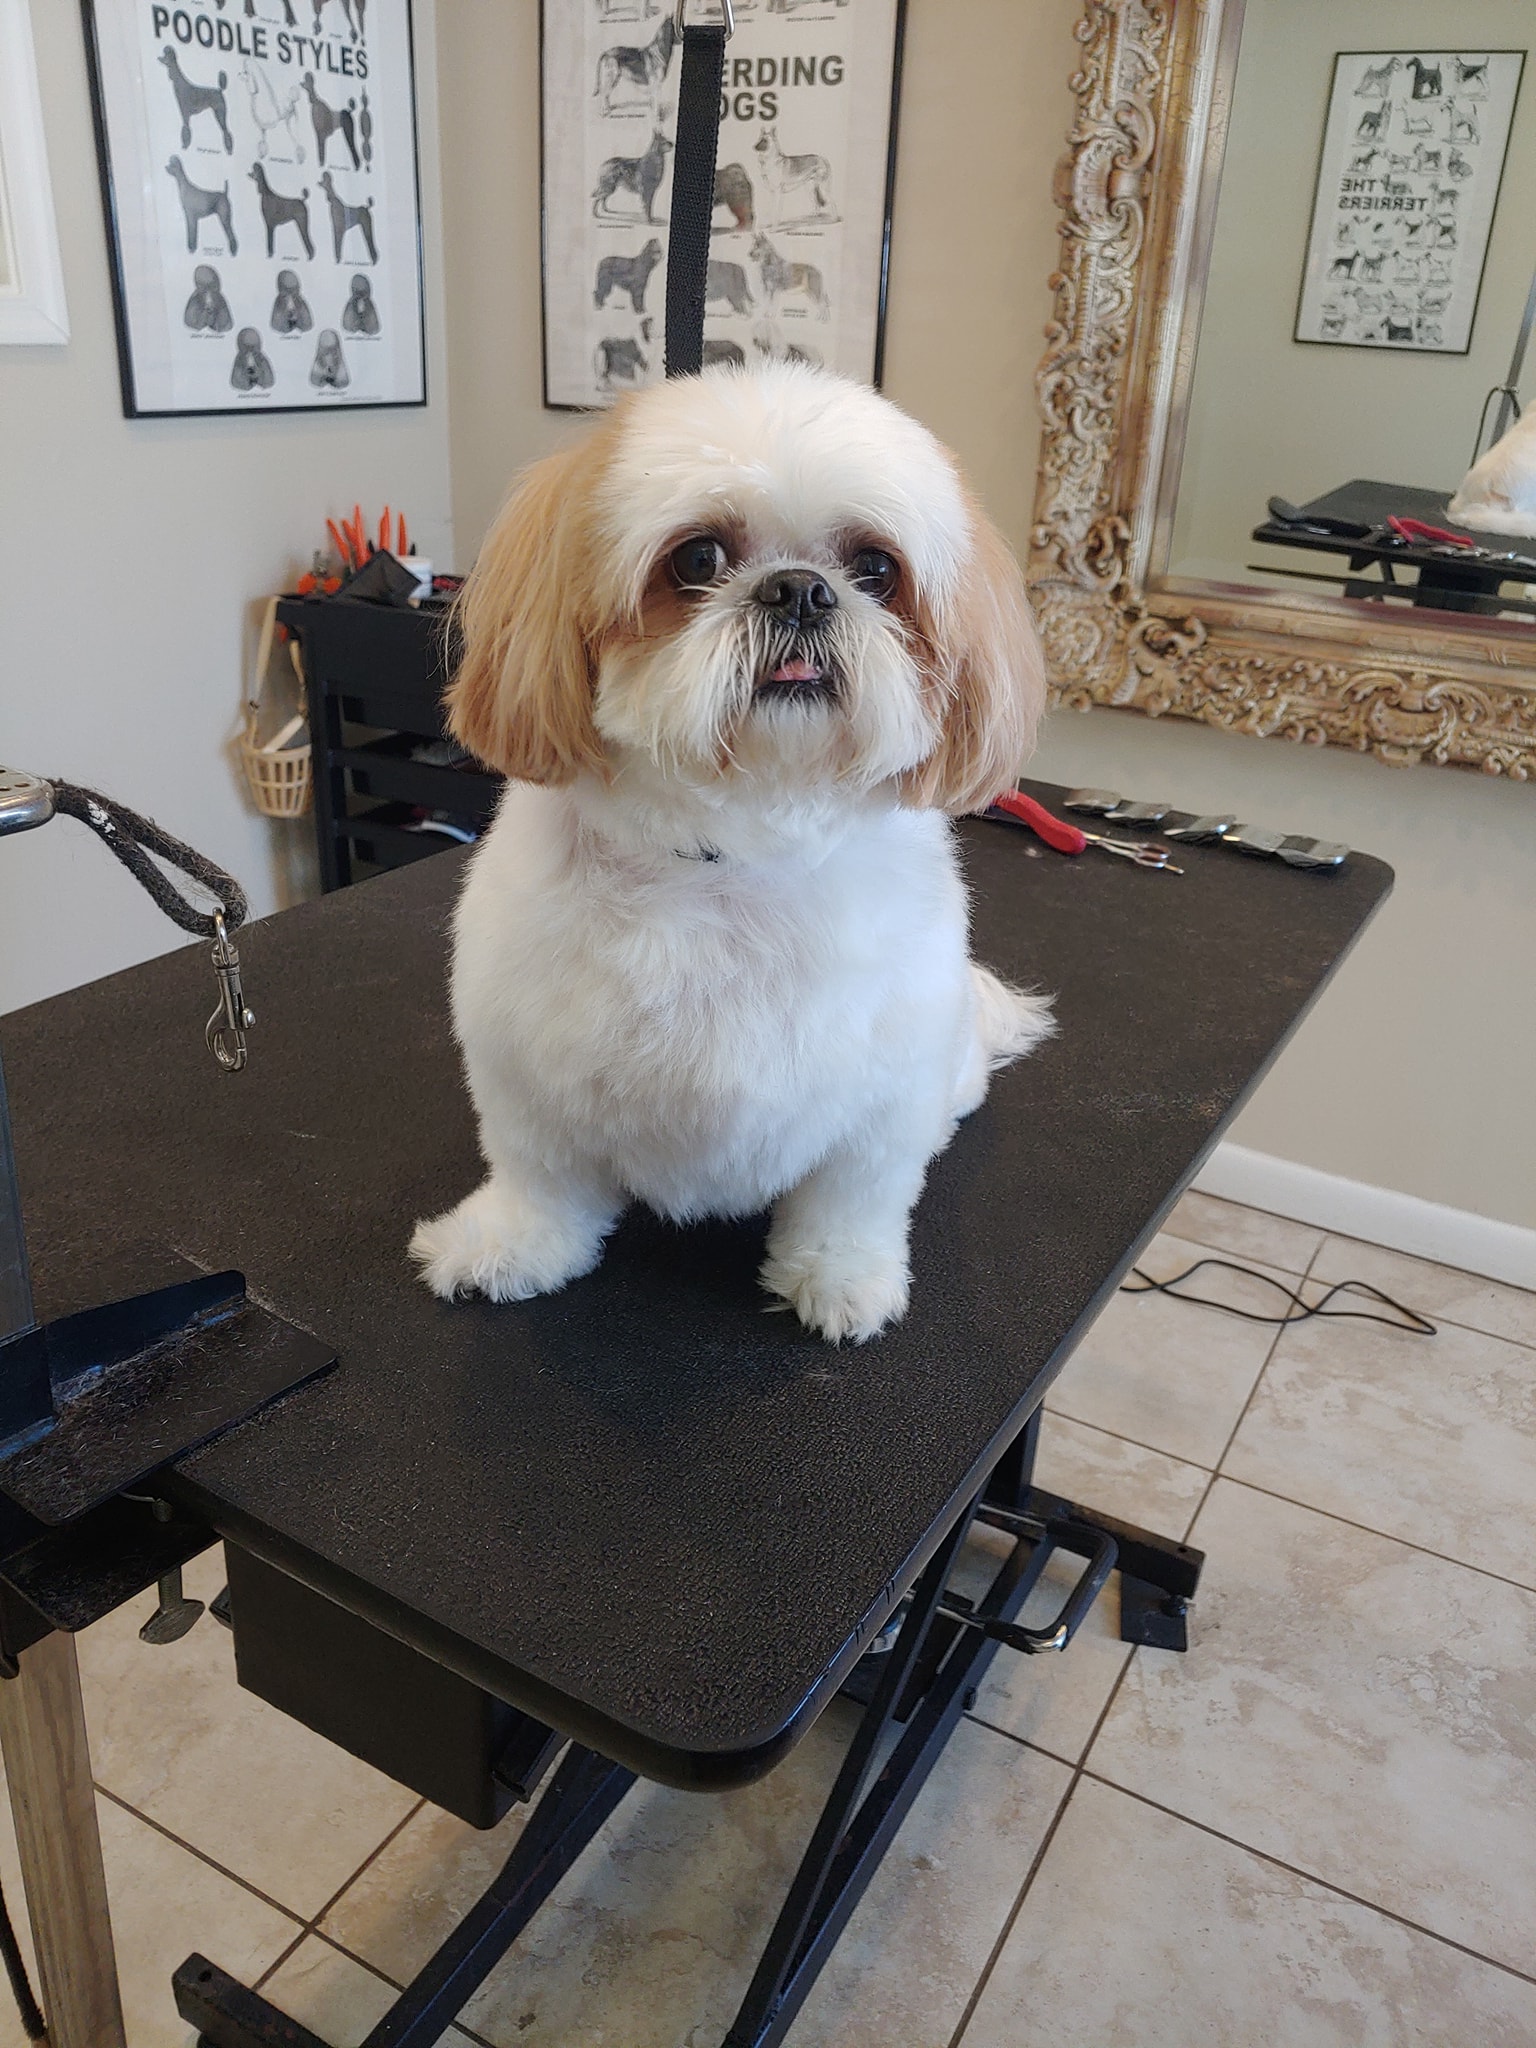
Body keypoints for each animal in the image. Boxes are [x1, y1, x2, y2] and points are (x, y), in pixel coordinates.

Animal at [408, 364, 1051, 1343]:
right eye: (698, 559)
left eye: (875, 569)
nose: (800, 590)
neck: (734, 854)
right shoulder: (529, 1074)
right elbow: (542, 1181)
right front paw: (513, 1248)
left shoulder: (880, 1106)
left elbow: (850, 1202)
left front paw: (840, 1281)